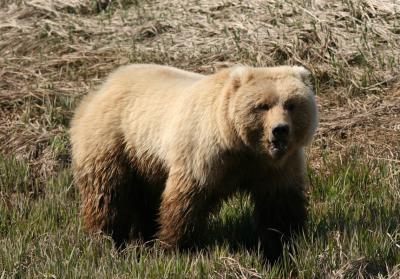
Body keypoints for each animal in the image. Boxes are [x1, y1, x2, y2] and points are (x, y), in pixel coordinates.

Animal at [70, 64, 318, 262]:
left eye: (291, 104)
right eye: (262, 105)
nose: (280, 129)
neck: (241, 145)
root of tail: (102, 86)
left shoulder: (276, 166)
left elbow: (280, 205)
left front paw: (283, 243)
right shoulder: (204, 153)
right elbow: (187, 201)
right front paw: (175, 248)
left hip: (147, 162)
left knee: (146, 198)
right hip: (114, 141)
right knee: (107, 194)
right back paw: (106, 240)